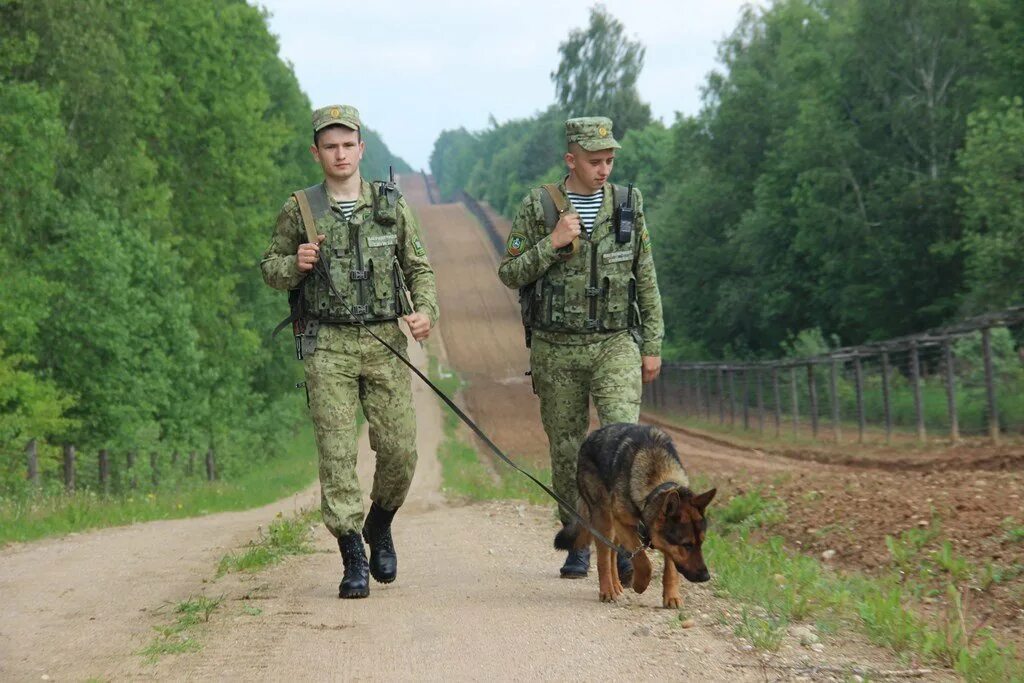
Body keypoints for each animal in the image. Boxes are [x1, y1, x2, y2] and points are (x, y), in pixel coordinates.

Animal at [557, 421, 716, 610]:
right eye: (687, 545)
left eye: (701, 543)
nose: (706, 577)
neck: (657, 481)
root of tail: (592, 436)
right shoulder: (624, 525)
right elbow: (643, 561)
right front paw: (640, 584)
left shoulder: (665, 542)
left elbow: (671, 568)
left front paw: (672, 596)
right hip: (604, 520)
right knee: (604, 557)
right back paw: (607, 590)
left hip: (612, 528)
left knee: (612, 554)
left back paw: (616, 585)